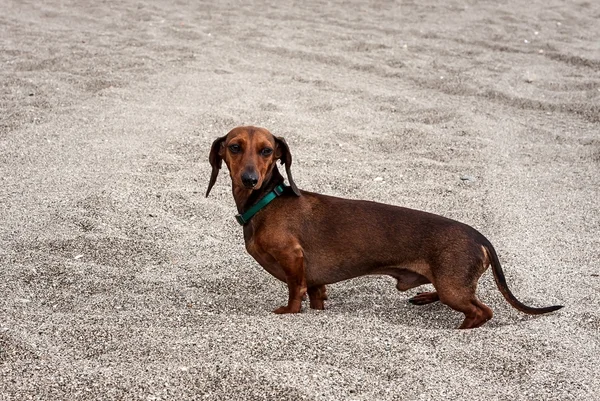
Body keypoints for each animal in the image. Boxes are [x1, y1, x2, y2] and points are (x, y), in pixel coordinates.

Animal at [206, 126, 564, 328]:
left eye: (267, 150)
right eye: (235, 147)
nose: (250, 179)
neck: (266, 201)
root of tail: (479, 236)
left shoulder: (294, 260)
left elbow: (295, 296)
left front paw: (288, 313)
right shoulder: (316, 281)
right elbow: (316, 296)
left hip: (454, 288)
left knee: (482, 312)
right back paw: (425, 297)